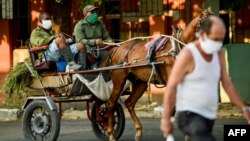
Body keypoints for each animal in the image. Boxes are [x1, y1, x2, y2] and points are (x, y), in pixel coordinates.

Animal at [105, 9, 213, 140]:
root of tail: (117, 48)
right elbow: (171, 110)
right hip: (119, 80)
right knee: (111, 103)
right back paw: (111, 134)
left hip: (140, 82)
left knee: (129, 103)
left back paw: (138, 131)